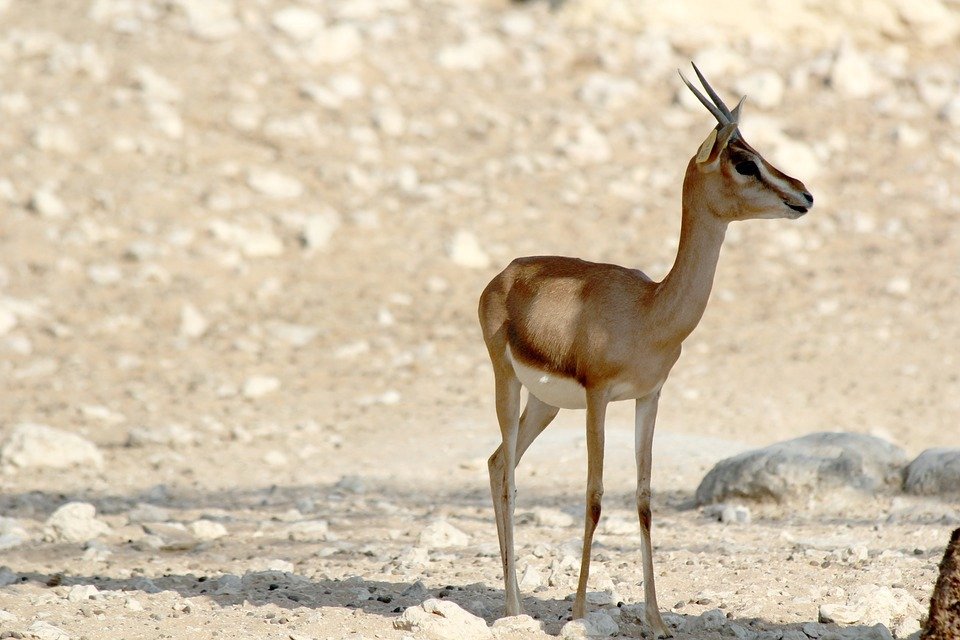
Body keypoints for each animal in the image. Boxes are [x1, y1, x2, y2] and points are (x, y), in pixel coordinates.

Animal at [478, 63, 808, 636]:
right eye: (744, 161)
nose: (804, 195)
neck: (650, 312)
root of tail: (506, 273)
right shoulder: (598, 397)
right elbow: (593, 498)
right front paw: (579, 614)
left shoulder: (649, 397)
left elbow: (644, 498)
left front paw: (656, 619)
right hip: (508, 381)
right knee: (509, 477)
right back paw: (515, 609)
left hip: (542, 404)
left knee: (500, 463)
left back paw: (512, 604)